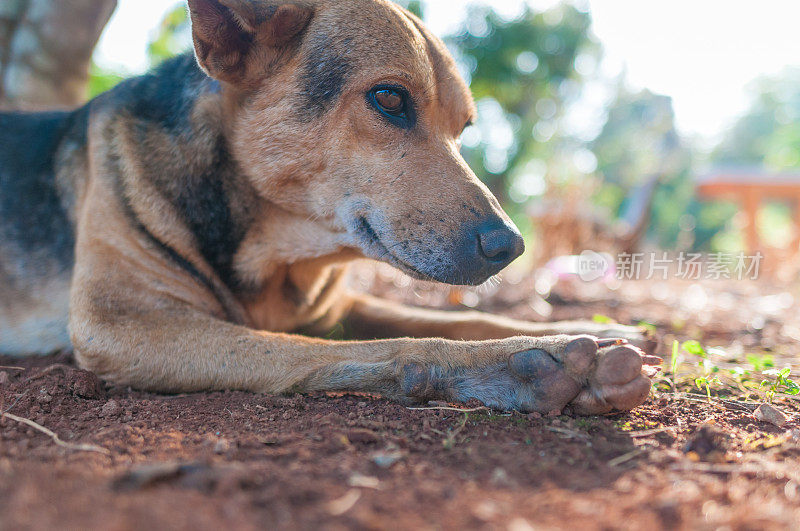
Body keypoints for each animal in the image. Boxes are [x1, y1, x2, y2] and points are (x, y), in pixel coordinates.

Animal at [0, 0, 656, 416]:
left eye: (464, 129)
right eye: (389, 98)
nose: (511, 246)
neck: (275, 252)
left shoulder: (338, 306)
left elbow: (459, 318)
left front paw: (592, 330)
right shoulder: (124, 322)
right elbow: (372, 347)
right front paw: (515, 365)